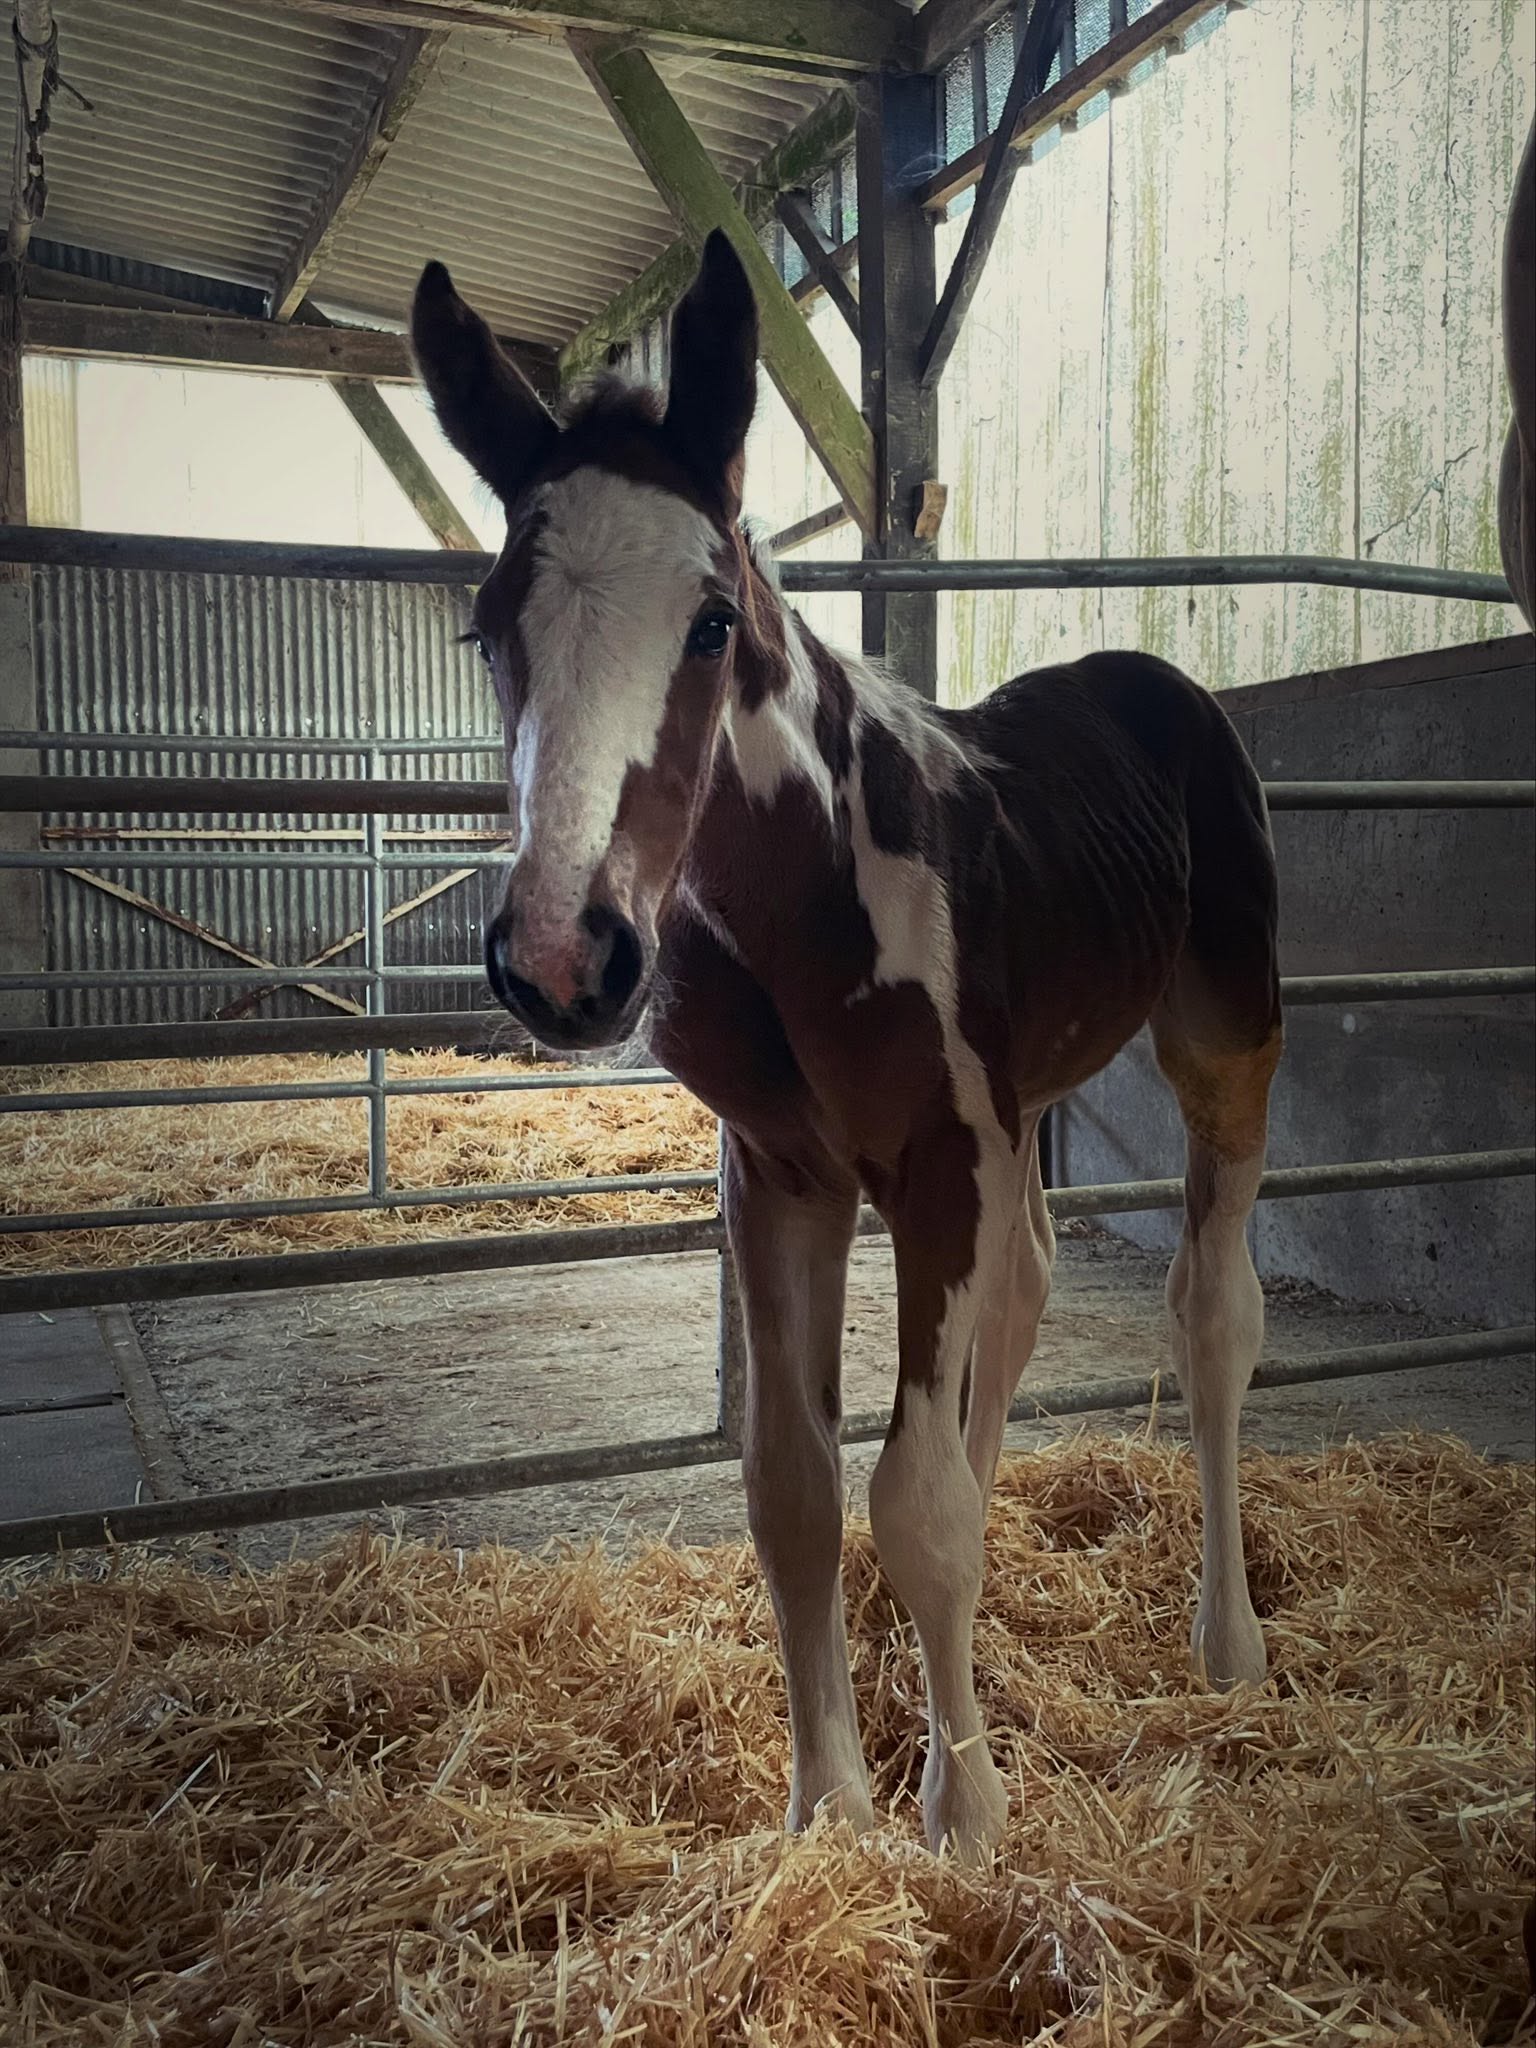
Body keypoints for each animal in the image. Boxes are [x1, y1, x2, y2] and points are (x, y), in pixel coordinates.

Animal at [411, 230, 1283, 1861]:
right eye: (491, 628)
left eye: (709, 621)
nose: (563, 960)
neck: (815, 892)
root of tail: (1158, 683)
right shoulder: (788, 1176)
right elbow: (801, 1488)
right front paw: (829, 1805)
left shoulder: (939, 1160)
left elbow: (916, 1499)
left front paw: (967, 1813)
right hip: (1022, 1113)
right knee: (1026, 1301)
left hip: (1226, 1043)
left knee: (1212, 1317)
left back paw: (1230, 1644)